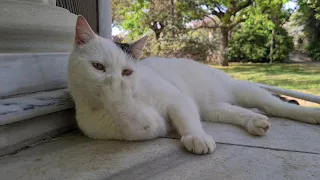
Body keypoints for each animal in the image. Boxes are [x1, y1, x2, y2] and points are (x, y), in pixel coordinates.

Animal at [68, 16, 320, 155]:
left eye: (127, 72)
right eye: (98, 66)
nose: (115, 79)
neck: (137, 97)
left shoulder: (178, 99)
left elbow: (186, 120)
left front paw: (197, 137)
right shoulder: (147, 126)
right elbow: (130, 114)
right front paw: (115, 93)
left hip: (244, 91)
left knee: (277, 106)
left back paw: (311, 115)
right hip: (213, 109)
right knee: (238, 111)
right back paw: (255, 122)